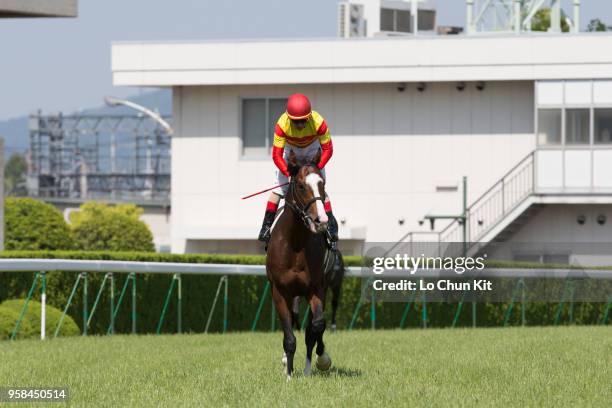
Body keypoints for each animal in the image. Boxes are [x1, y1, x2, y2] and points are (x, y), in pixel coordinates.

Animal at [266, 148, 332, 378]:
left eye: (322, 184)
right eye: (302, 186)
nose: (321, 221)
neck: (294, 243)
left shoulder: (316, 288)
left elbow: (316, 327)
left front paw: (313, 365)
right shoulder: (279, 291)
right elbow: (289, 336)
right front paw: (288, 374)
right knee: (293, 320)